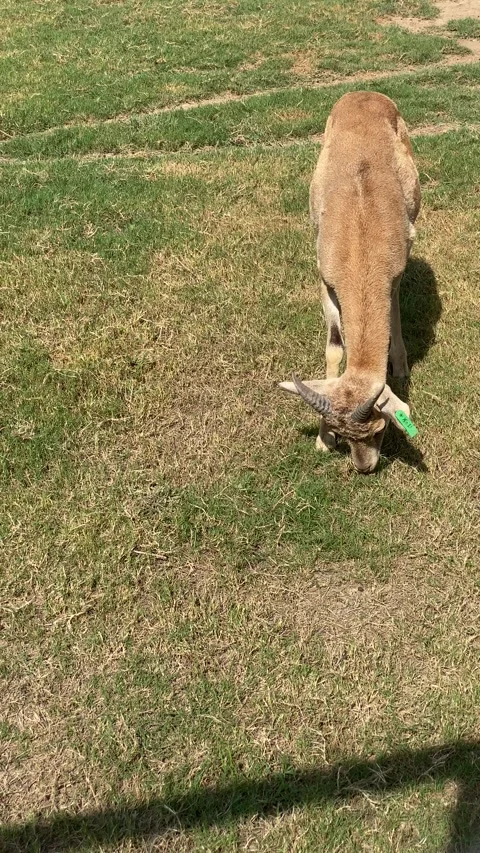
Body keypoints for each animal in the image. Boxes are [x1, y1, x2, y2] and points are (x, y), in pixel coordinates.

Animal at [279, 91, 421, 473]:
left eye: (379, 428)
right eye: (343, 433)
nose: (364, 467)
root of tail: (365, 94)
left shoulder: (394, 274)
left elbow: (395, 316)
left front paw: (400, 367)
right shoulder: (326, 281)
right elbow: (334, 346)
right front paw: (321, 440)